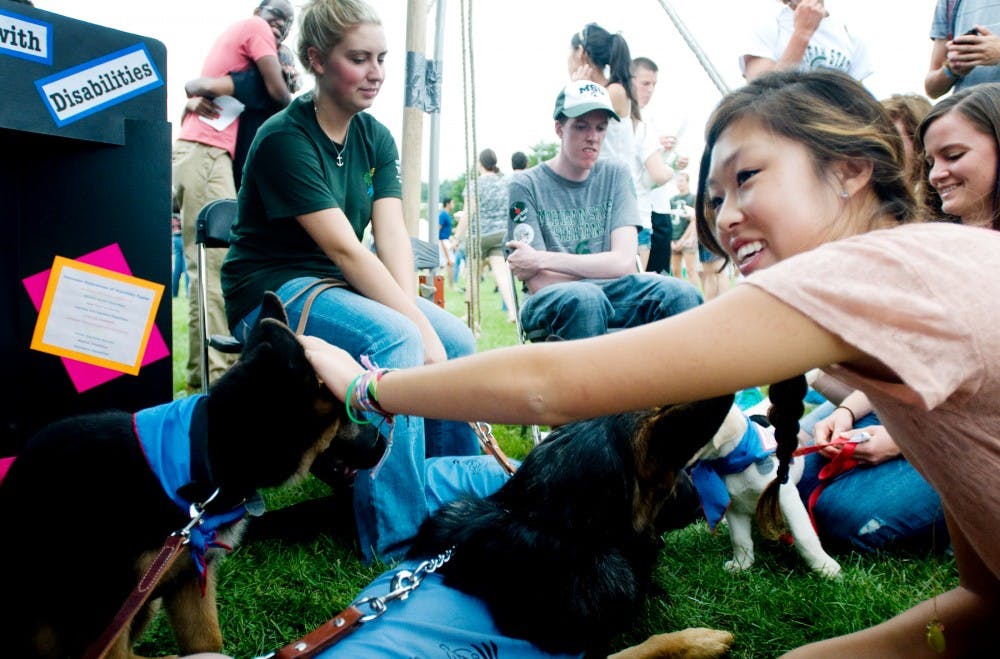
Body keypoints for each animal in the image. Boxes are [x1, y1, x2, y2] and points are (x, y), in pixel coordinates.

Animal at [0, 294, 378, 659]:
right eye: (354, 411)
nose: (385, 443)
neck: (209, 455)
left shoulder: (189, 579)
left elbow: (206, 642)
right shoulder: (107, 611)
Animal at [684, 404, 840, 580]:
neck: (736, 463)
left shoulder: (786, 496)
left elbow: (803, 534)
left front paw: (825, 567)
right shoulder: (735, 507)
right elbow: (739, 538)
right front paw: (741, 564)